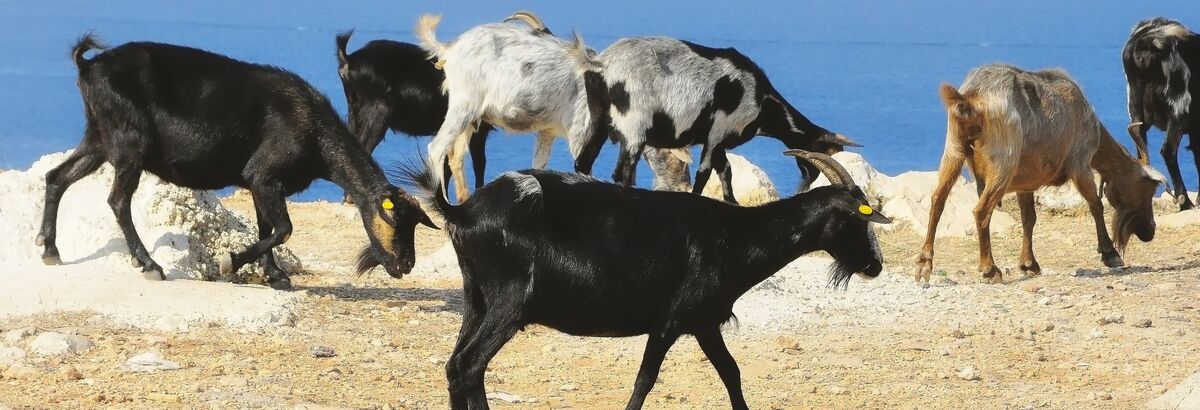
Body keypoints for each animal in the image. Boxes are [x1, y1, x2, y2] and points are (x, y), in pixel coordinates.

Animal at [37, 34, 436, 290]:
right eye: (394, 218)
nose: (406, 264)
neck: (315, 133)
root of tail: (88, 67)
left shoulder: (262, 185)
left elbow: (267, 227)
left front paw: (275, 276)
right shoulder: (264, 173)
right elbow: (283, 228)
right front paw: (232, 262)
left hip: (99, 138)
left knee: (57, 177)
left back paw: (50, 249)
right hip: (129, 142)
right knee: (118, 199)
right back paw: (149, 264)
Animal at [401, 151, 891, 409]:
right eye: (857, 218)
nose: (875, 265)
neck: (736, 235)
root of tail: (462, 211)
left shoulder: (703, 322)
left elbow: (731, 372)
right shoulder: (671, 319)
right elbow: (645, 378)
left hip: (476, 297)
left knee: (455, 365)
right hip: (509, 302)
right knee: (471, 364)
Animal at [416, 12, 610, 202]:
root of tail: (449, 48)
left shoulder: (548, 131)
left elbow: (539, 164)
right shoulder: (580, 132)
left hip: (470, 117)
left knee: (455, 155)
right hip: (464, 106)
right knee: (437, 148)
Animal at [599, 37, 859, 203]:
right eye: (822, 152)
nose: (803, 188)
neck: (762, 101)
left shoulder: (722, 140)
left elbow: (725, 170)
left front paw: (731, 201)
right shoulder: (716, 132)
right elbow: (704, 172)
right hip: (634, 126)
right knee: (623, 172)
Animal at [915, 64, 1164, 284]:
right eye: (1148, 188)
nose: (1150, 231)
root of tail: (970, 98)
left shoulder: (1025, 181)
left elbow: (1029, 218)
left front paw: (1029, 264)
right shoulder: (1080, 163)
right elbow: (1096, 205)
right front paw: (1110, 254)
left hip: (953, 147)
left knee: (938, 200)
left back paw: (924, 264)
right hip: (1004, 161)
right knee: (981, 211)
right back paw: (990, 269)